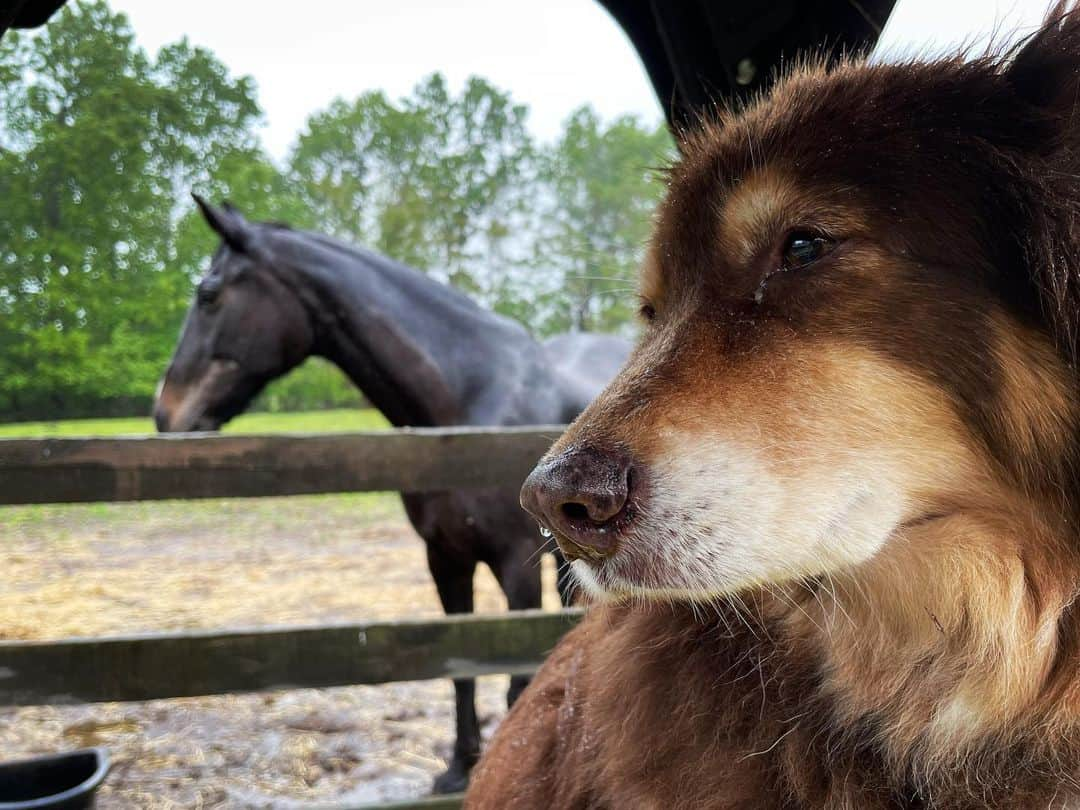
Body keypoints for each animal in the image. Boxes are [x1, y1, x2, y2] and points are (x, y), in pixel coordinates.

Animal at [157, 196, 630, 794]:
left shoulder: (515, 563)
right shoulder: (445, 557)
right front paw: (459, 767)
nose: (165, 414)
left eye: (209, 294)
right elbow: (461, 669)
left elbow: (518, 678)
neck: (468, 402)